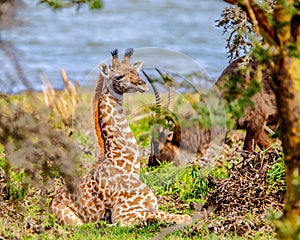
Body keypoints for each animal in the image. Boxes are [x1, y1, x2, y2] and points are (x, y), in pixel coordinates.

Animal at [48, 48, 191, 225]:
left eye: (136, 72)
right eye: (118, 76)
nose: (143, 84)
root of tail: (51, 203)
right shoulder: (122, 213)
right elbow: (161, 214)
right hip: (75, 222)